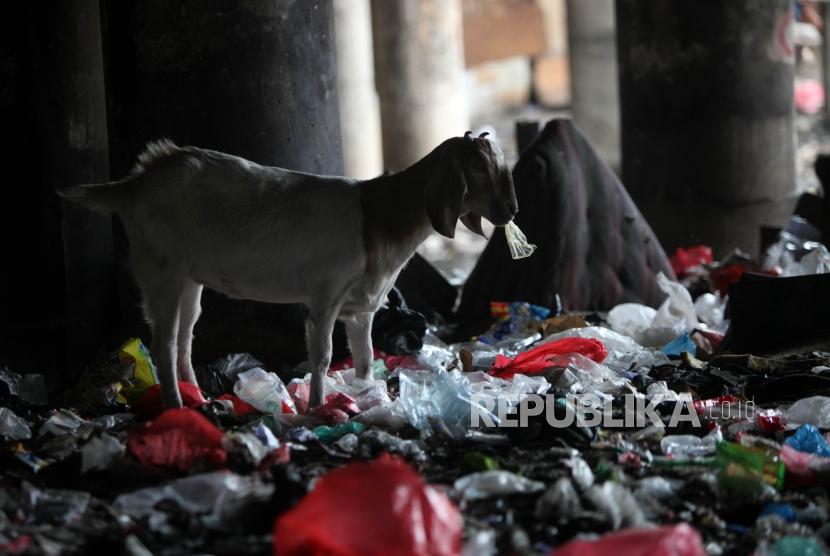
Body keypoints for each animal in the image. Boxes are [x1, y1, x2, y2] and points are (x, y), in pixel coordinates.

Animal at [58, 130, 516, 408]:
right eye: (478, 168)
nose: (511, 210)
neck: (378, 217)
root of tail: (133, 185)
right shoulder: (325, 295)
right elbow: (324, 355)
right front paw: (315, 406)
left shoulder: (361, 308)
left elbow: (365, 357)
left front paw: (365, 396)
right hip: (160, 269)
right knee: (163, 342)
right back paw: (176, 406)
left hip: (189, 278)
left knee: (186, 336)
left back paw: (200, 400)